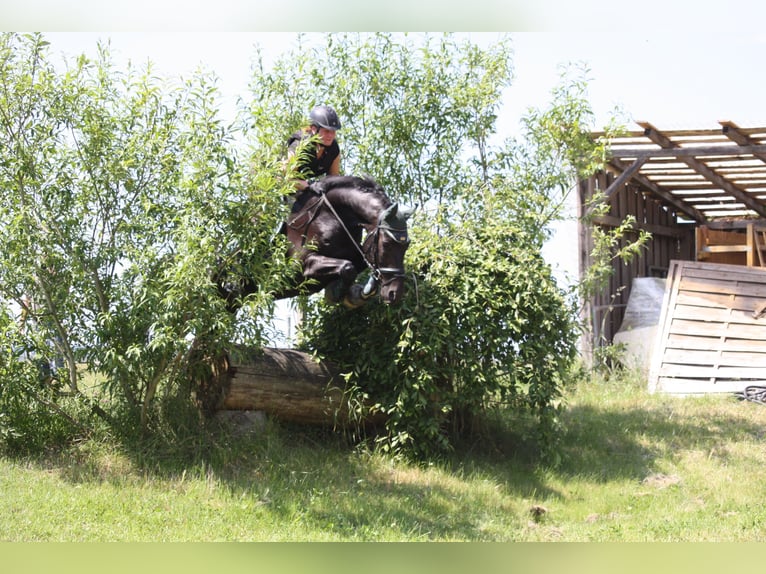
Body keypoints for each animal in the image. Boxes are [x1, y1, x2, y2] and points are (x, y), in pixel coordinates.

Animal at [219, 177, 414, 312]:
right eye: (387, 244)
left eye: (406, 245)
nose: (394, 294)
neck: (332, 216)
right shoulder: (304, 265)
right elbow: (347, 267)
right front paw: (335, 293)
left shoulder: (357, 254)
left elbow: (357, 265)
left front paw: (355, 294)